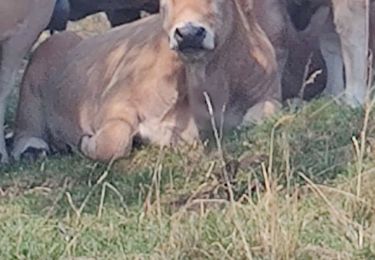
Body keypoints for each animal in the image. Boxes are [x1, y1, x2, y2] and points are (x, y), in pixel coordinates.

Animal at [11, 0, 282, 162]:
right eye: (166, 2)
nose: (189, 33)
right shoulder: (115, 103)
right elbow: (113, 142)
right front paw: (85, 143)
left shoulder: (269, 94)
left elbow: (261, 115)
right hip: (32, 83)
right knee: (26, 128)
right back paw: (32, 149)